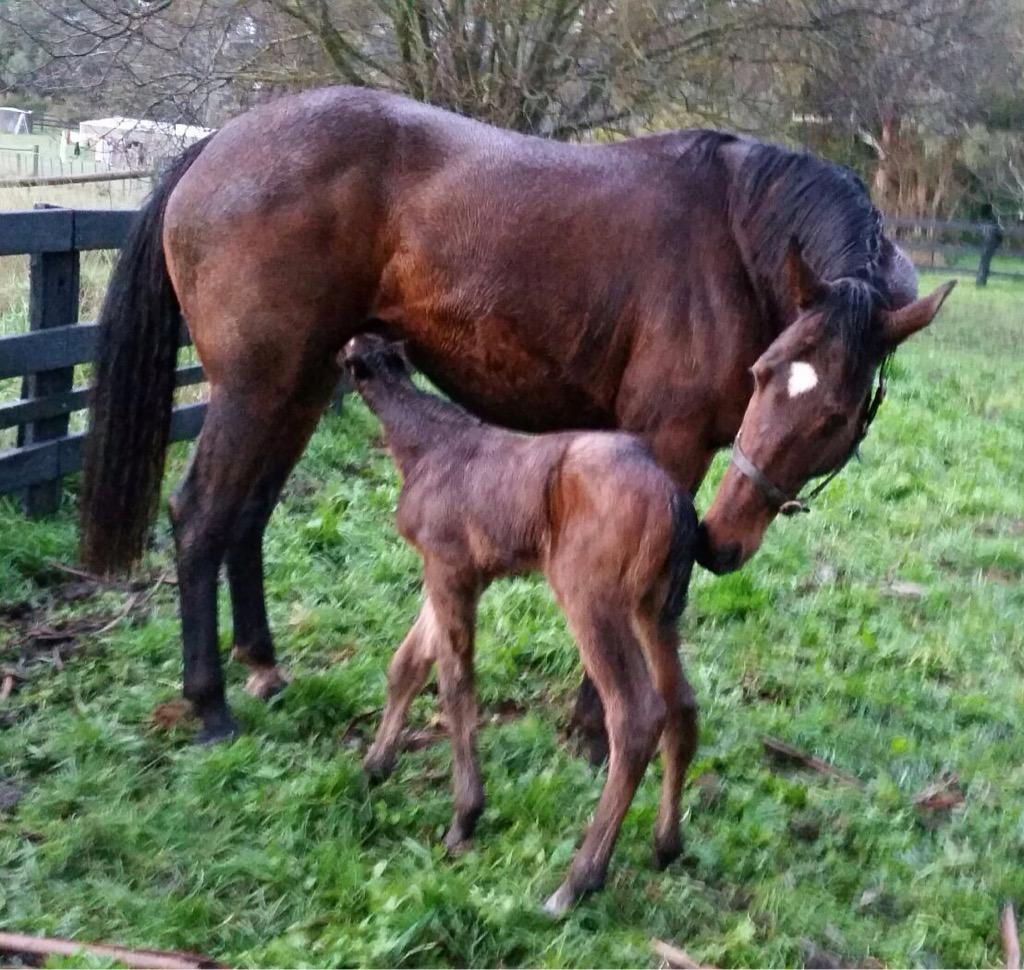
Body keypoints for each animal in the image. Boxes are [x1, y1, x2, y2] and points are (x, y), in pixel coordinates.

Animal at [78, 85, 954, 746]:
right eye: (766, 376)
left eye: (835, 415)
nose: (724, 542)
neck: (733, 241)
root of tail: (216, 144)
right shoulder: (666, 448)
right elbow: (649, 594)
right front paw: (596, 725)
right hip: (255, 389)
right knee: (201, 516)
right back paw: (210, 705)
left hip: (297, 389)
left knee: (247, 517)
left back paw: (263, 667)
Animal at [340, 334, 698, 915]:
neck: (422, 446)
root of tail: (674, 500)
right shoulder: (449, 568)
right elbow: (408, 663)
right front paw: (374, 766)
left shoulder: (450, 566)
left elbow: (456, 680)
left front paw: (464, 817)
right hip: (654, 604)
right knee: (682, 703)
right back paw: (666, 844)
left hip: (589, 593)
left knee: (637, 713)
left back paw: (579, 880)